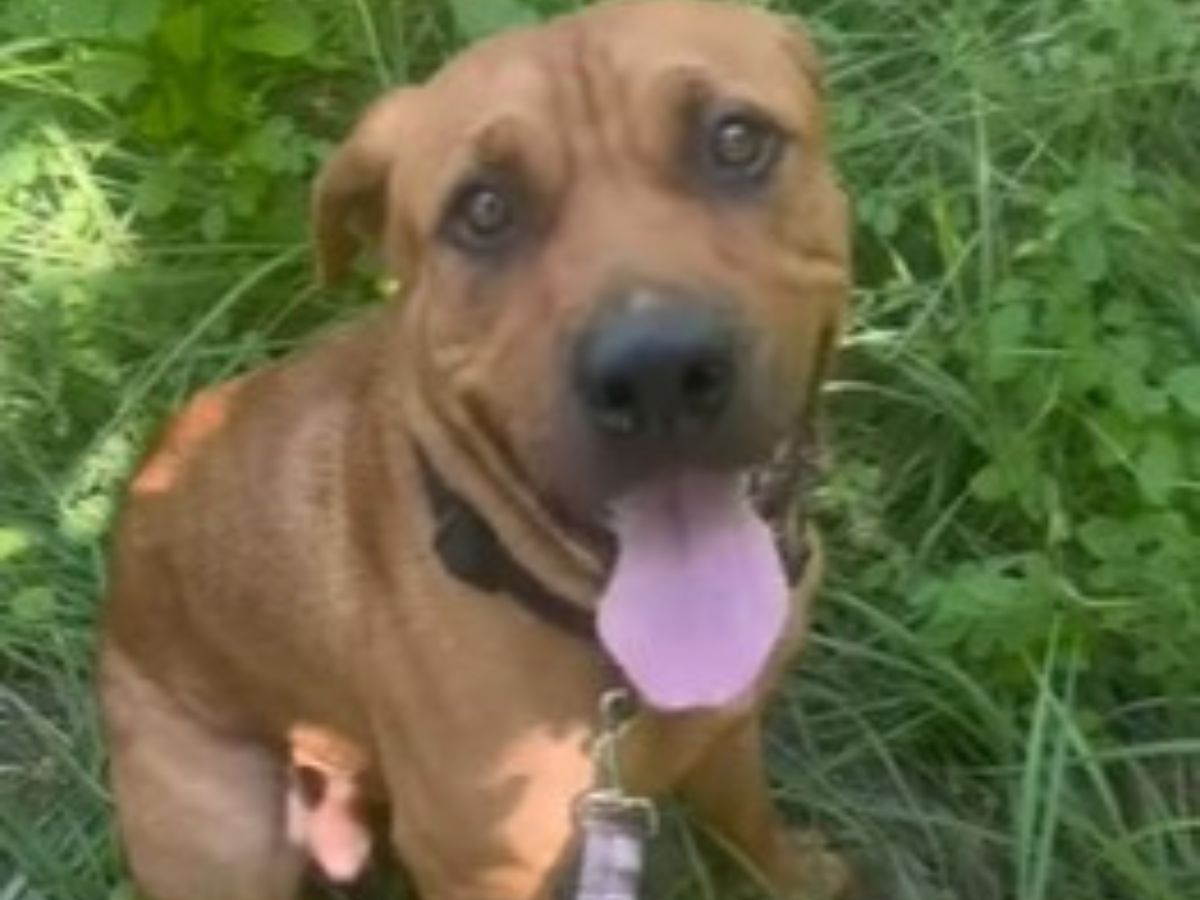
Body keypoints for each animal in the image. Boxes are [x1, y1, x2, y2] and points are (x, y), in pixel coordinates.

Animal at [100, 3, 854, 897]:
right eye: (484, 209)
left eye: (736, 140)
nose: (656, 372)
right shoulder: (479, 867)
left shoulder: (730, 729)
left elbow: (750, 827)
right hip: (226, 835)